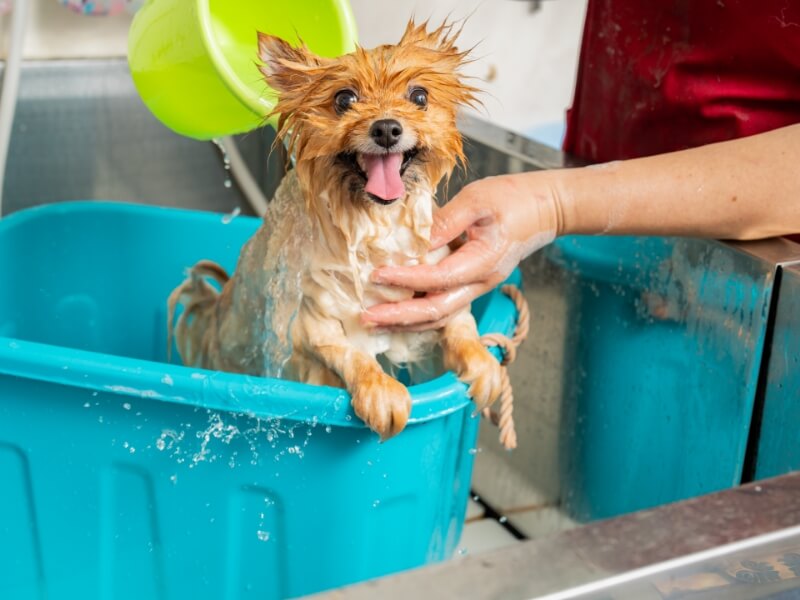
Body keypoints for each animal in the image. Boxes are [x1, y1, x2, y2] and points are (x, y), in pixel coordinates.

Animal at [168, 21, 504, 440]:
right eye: (344, 99)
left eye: (419, 96)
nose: (387, 128)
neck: (378, 224)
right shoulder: (313, 318)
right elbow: (352, 354)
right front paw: (381, 391)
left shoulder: (438, 279)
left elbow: (462, 326)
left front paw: (484, 364)